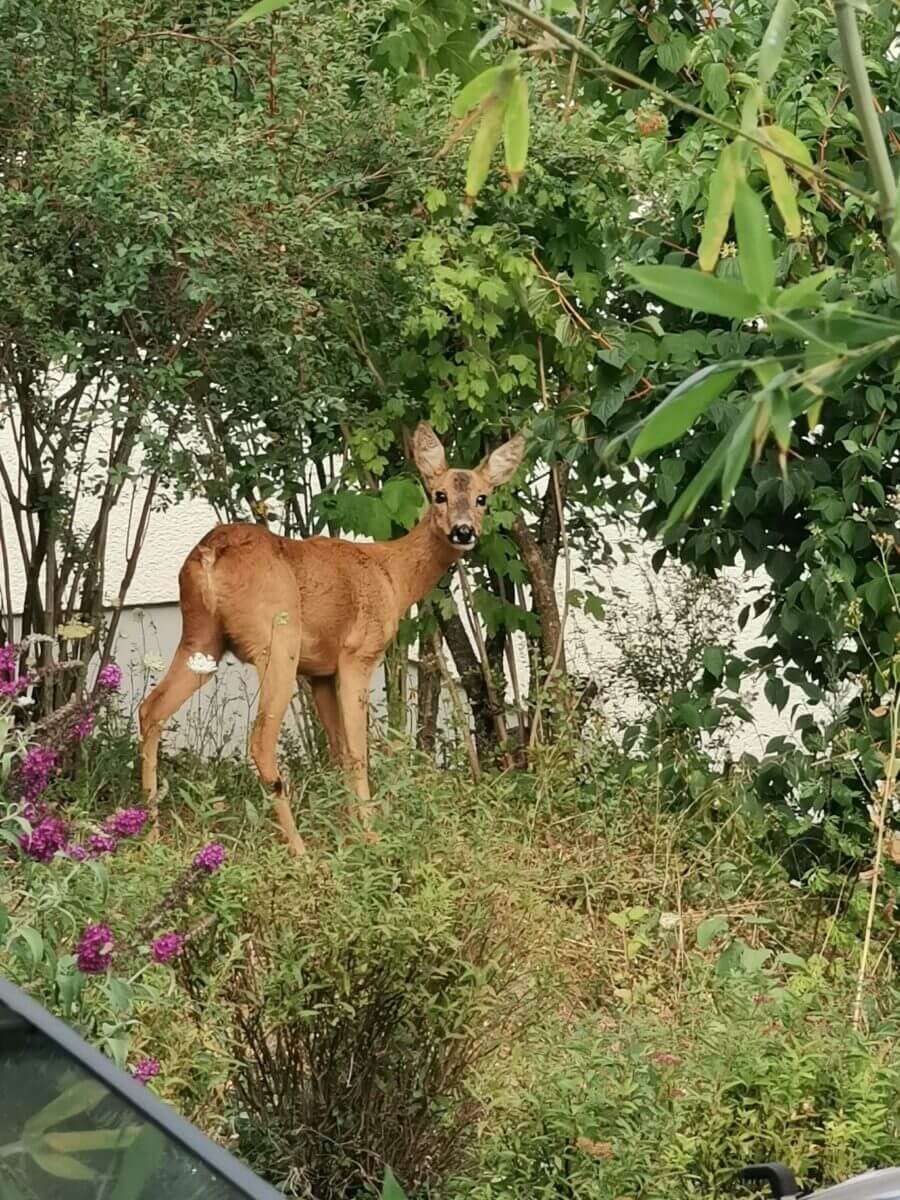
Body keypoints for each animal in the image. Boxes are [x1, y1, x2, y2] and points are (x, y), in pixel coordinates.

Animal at [138, 422, 525, 855]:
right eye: (439, 494)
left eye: (482, 498)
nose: (463, 531)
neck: (392, 577)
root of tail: (209, 555)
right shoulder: (357, 654)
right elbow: (358, 750)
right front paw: (371, 832)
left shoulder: (320, 671)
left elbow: (337, 750)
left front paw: (348, 825)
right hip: (276, 640)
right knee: (260, 741)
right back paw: (299, 849)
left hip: (201, 638)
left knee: (150, 709)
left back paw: (151, 830)